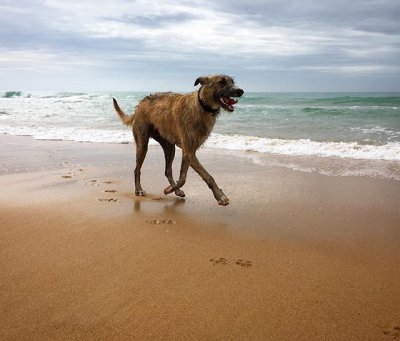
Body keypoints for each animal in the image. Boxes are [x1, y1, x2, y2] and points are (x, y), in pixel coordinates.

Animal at [112, 75, 244, 205]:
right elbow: (207, 176)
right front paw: (220, 196)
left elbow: (182, 178)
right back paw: (138, 190)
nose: (240, 91)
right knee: (137, 170)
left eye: (232, 81)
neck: (201, 106)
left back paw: (175, 189)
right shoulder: (189, 152)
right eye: (221, 82)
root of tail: (139, 106)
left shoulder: (188, 152)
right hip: (142, 144)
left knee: (167, 171)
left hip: (169, 147)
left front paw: (171, 189)